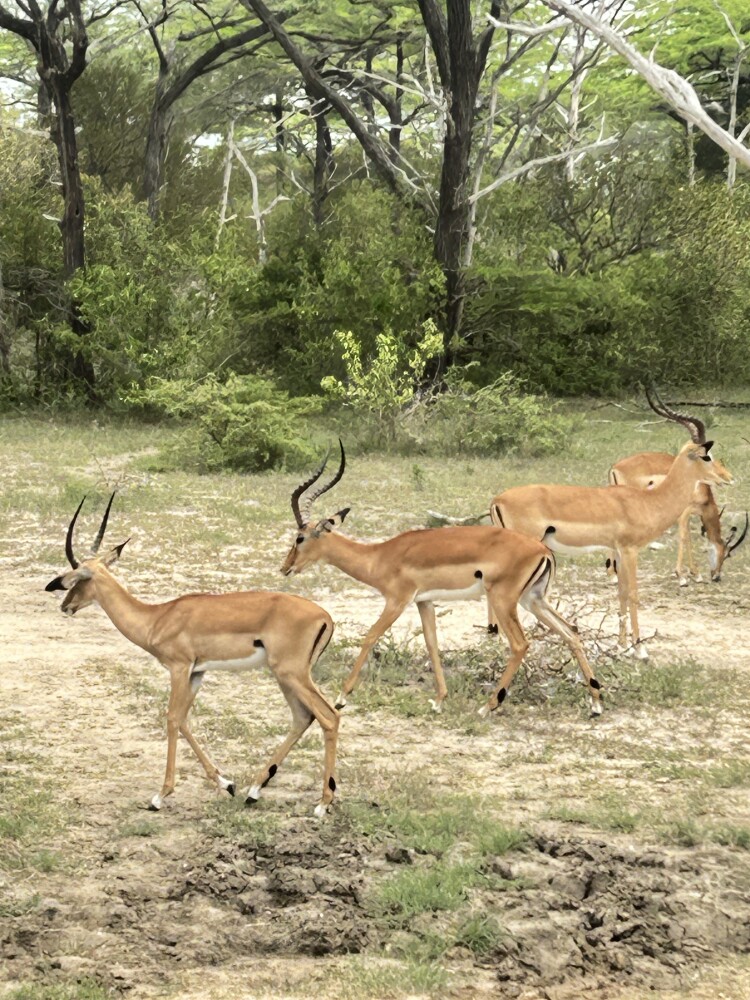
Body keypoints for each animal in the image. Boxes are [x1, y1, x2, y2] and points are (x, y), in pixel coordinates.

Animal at [45, 495, 339, 816]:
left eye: (77, 580)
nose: (65, 606)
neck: (157, 618)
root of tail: (326, 616)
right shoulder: (197, 672)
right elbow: (184, 719)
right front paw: (227, 783)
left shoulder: (179, 667)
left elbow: (172, 718)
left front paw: (159, 796)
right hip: (287, 676)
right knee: (303, 717)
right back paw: (254, 791)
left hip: (291, 673)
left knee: (329, 716)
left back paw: (323, 803)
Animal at [280, 442, 602, 718]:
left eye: (300, 537)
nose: (286, 567)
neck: (380, 556)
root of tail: (543, 550)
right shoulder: (424, 602)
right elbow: (432, 644)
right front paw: (438, 700)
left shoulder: (397, 601)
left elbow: (370, 636)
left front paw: (341, 697)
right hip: (533, 599)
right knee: (571, 632)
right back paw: (596, 703)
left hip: (504, 600)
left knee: (521, 644)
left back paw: (488, 706)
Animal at [490, 436, 734, 653]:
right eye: (706, 456)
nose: (728, 478)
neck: (648, 502)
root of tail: (497, 500)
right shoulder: (630, 550)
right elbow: (633, 594)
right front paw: (639, 649)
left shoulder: (618, 551)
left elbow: (621, 593)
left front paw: (621, 645)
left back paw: (496, 638)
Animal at [608, 388, 747, 585]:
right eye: (727, 554)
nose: (717, 576)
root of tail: (615, 467)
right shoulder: (684, 512)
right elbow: (684, 536)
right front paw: (686, 576)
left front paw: (692, 574)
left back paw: (614, 575)